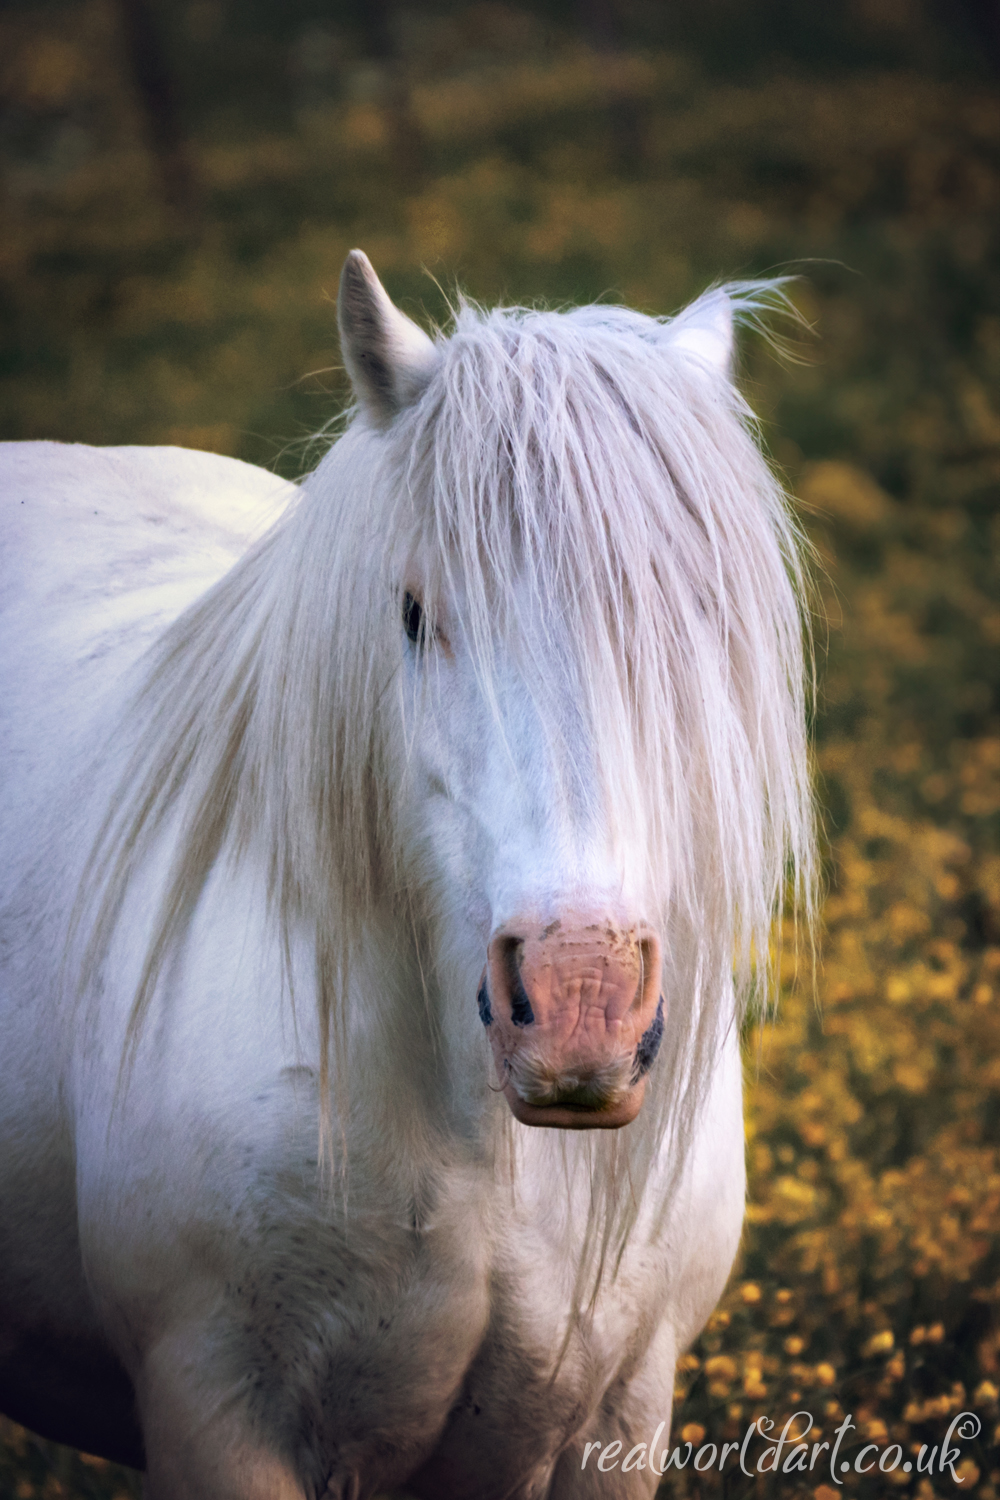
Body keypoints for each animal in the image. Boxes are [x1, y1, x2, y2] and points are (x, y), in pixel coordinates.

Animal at [0, 252, 815, 1494]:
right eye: (415, 613)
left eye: (699, 617)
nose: (579, 1004)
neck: (485, 1155)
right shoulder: (212, 1412)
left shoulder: (618, 1416)